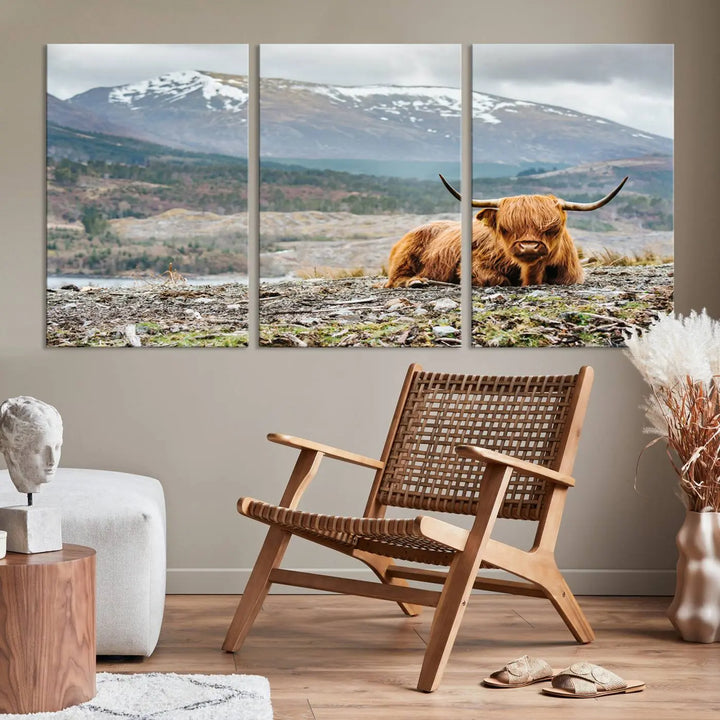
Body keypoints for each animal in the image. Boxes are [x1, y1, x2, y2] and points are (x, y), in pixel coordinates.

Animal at [386, 174, 628, 286]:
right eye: (505, 228)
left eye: (553, 228)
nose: (529, 246)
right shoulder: (475, 264)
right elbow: (496, 279)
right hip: (404, 258)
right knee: (394, 279)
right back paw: (416, 281)